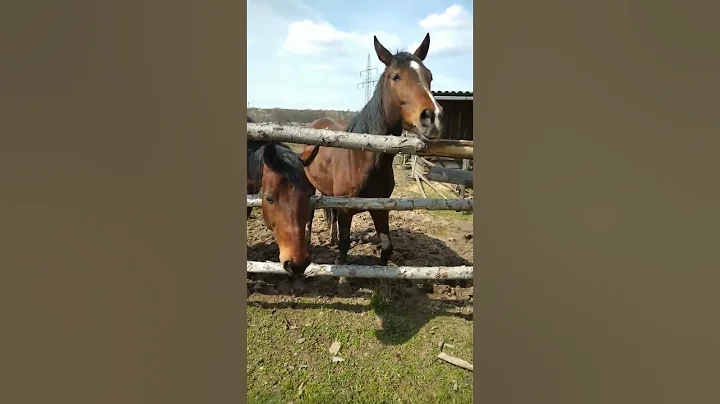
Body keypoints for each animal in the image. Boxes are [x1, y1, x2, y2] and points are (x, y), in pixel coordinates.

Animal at [299, 33, 444, 267]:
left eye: (429, 76)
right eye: (396, 77)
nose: (433, 117)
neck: (363, 157)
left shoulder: (380, 208)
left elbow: (387, 248)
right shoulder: (347, 209)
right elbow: (345, 248)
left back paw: (331, 237)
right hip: (309, 186)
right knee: (310, 215)